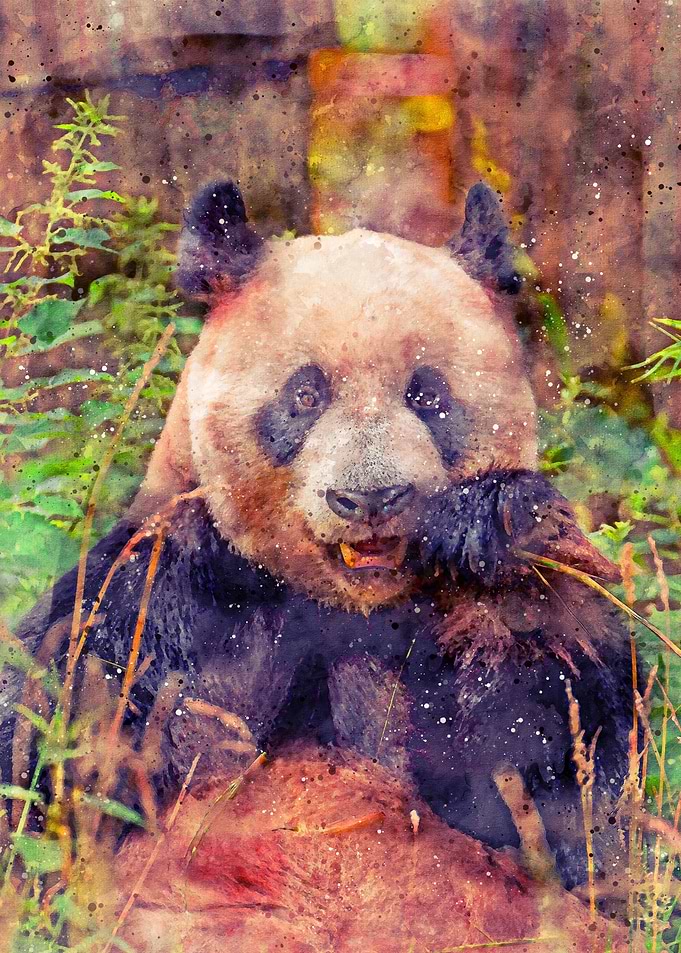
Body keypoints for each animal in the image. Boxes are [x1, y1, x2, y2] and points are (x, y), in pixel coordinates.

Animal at [2, 181, 635, 889]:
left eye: (428, 396)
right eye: (305, 396)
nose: (371, 498)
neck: (344, 604)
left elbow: (555, 778)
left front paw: (496, 531)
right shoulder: (162, 594)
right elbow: (54, 751)